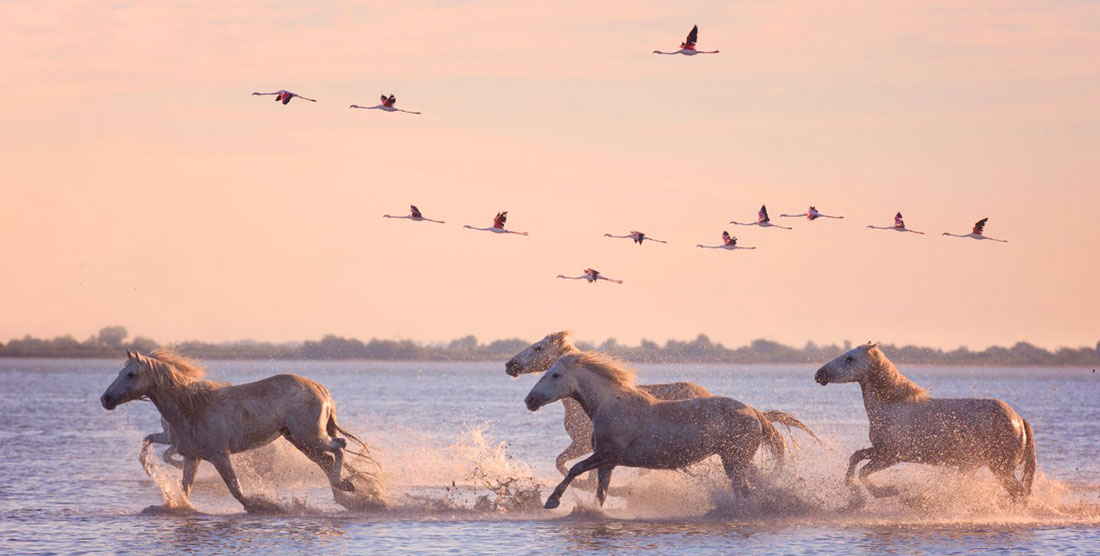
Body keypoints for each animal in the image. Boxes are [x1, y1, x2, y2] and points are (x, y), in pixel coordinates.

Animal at [100, 347, 382, 513]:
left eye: (131, 374)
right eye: (120, 371)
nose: (105, 399)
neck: (190, 409)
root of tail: (321, 389)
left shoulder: (219, 456)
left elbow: (236, 490)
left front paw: (263, 506)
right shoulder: (192, 456)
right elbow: (183, 485)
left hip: (310, 437)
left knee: (340, 447)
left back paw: (347, 487)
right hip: (300, 440)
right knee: (327, 460)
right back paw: (347, 493)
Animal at [523, 352, 818, 508]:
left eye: (555, 375)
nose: (530, 400)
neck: (610, 404)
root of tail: (754, 412)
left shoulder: (609, 454)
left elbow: (574, 469)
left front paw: (552, 501)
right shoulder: (608, 462)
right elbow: (600, 491)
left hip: (735, 460)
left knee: (745, 490)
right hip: (737, 460)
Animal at [814, 343, 1034, 502]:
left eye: (849, 358)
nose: (819, 374)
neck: (892, 406)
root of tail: (1019, 421)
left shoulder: (891, 456)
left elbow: (863, 472)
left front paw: (887, 492)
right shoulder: (879, 450)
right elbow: (855, 458)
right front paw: (855, 494)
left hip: (1000, 470)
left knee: (1020, 495)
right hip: (972, 467)